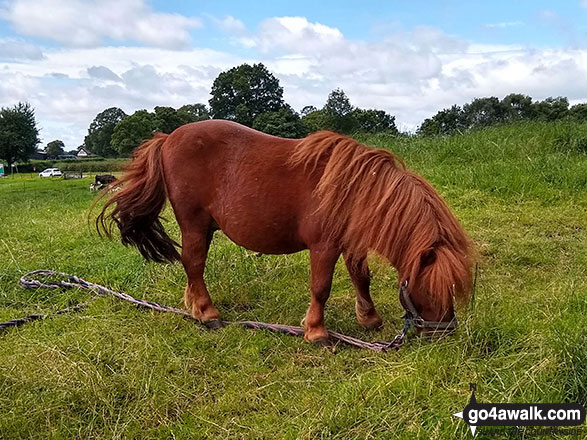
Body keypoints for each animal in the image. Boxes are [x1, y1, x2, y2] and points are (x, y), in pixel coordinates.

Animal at [95, 120, 474, 344]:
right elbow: (321, 287)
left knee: (192, 269)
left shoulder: (351, 243)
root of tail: (168, 137)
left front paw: (369, 319)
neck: (354, 188)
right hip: (193, 223)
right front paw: (317, 332)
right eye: (435, 287)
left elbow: (361, 277)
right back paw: (208, 314)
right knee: (194, 264)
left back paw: (194, 308)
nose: (445, 332)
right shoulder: (324, 246)